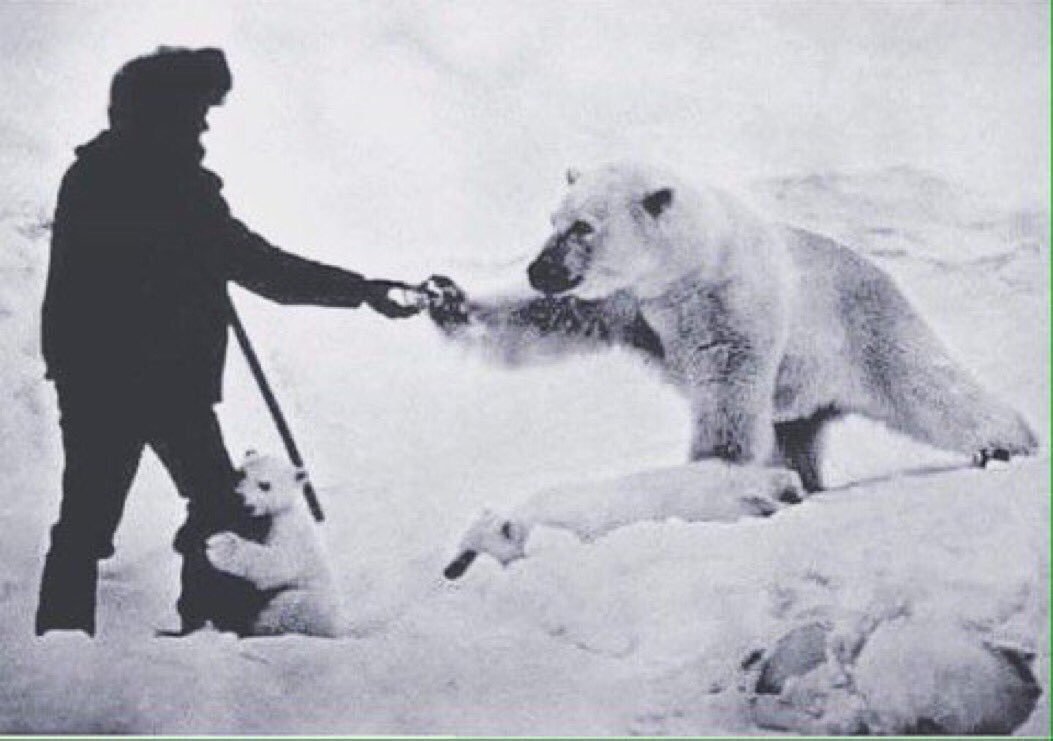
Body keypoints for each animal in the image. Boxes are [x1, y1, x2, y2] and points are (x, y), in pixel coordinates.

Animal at [204, 451, 343, 637]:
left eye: (264, 485)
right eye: (241, 475)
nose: (240, 498)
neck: (283, 510)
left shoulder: (289, 530)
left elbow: (280, 563)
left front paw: (220, 547)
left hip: (311, 600)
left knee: (290, 607)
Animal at [425, 163, 1037, 496]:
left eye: (583, 226)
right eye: (553, 220)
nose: (539, 268)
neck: (686, 268)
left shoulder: (731, 304)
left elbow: (727, 388)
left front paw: (710, 472)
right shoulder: (628, 303)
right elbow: (548, 319)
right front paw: (446, 298)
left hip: (867, 330)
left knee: (930, 387)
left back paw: (1009, 444)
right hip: (800, 397)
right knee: (794, 438)